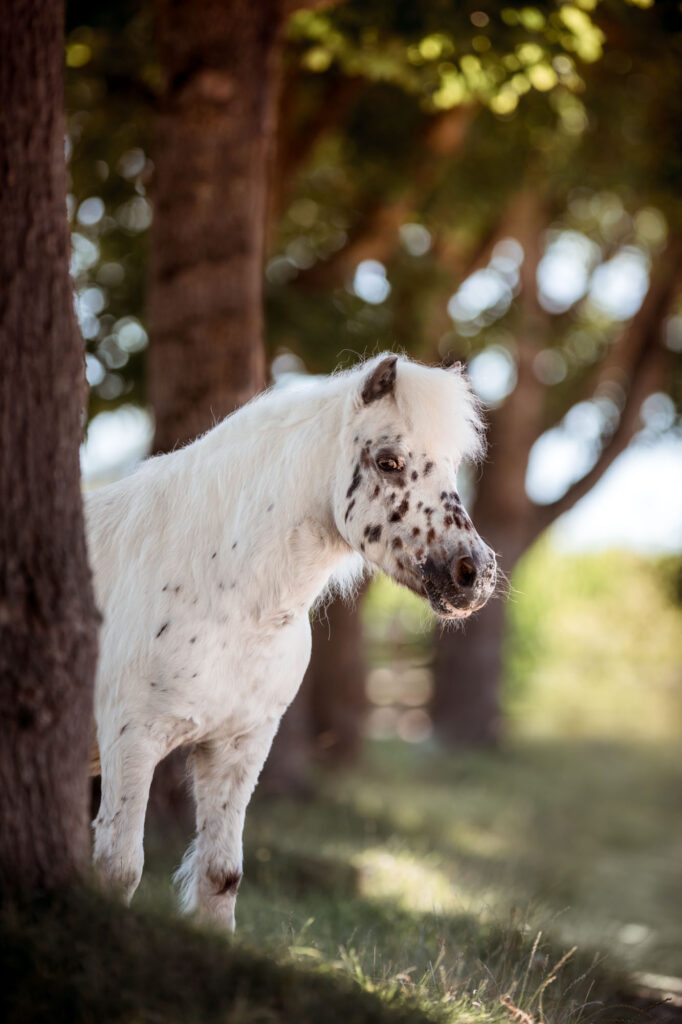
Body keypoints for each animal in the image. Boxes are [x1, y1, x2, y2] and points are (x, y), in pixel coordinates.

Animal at [85, 353, 497, 930]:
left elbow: (220, 877)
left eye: (452, 465)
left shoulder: (239, 746)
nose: (474, 574)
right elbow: (119, 868)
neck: (222, 592)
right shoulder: (131, 739)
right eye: (389, 461)